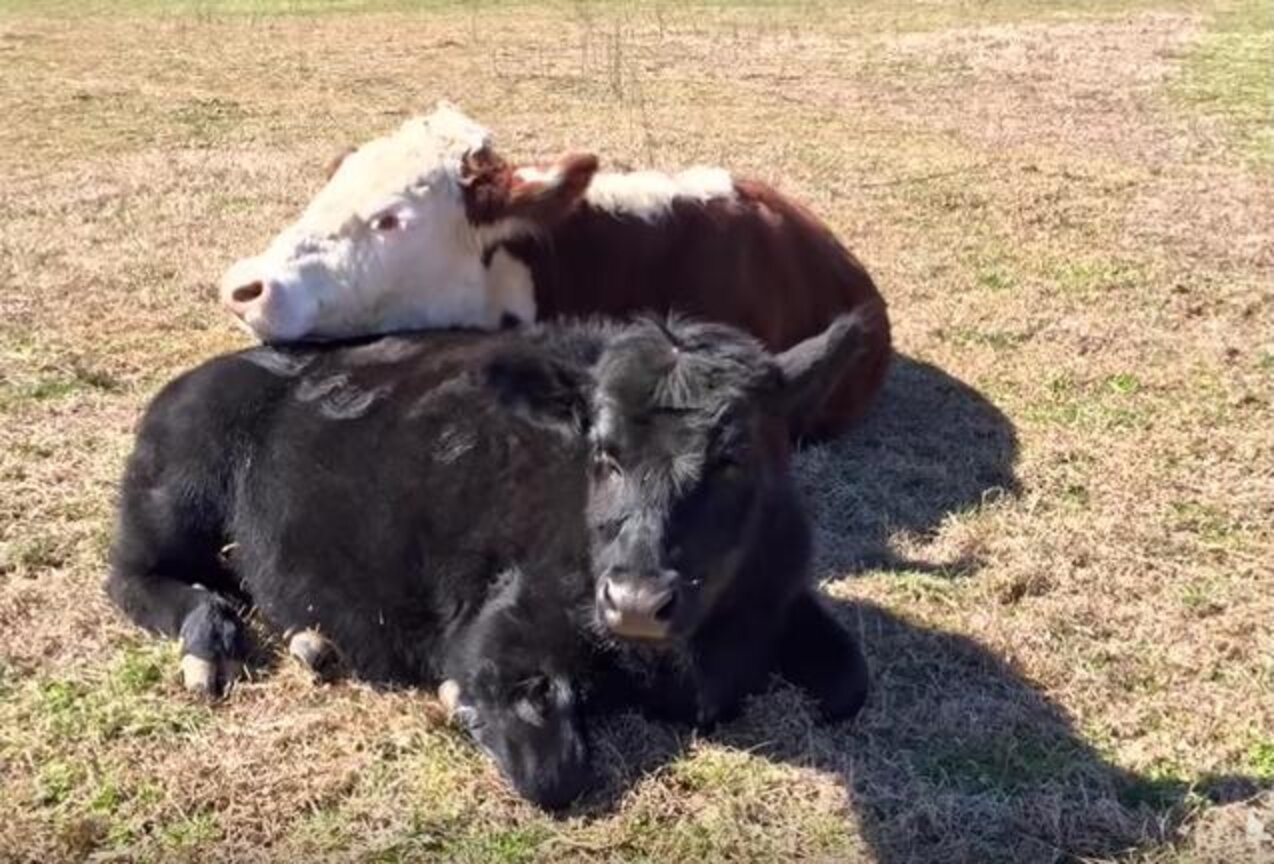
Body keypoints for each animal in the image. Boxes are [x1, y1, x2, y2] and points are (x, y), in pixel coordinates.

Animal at [106, 312, 873, 809]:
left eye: (733, 456)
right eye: (603, 452)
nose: (634, 603)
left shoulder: (784, 594)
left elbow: (850, 681)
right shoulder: (502, 633)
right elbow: (553, 771)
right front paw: (459, 703)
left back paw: (309, 644)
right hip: (176, 493)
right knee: (134, 576)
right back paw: (208, 645)